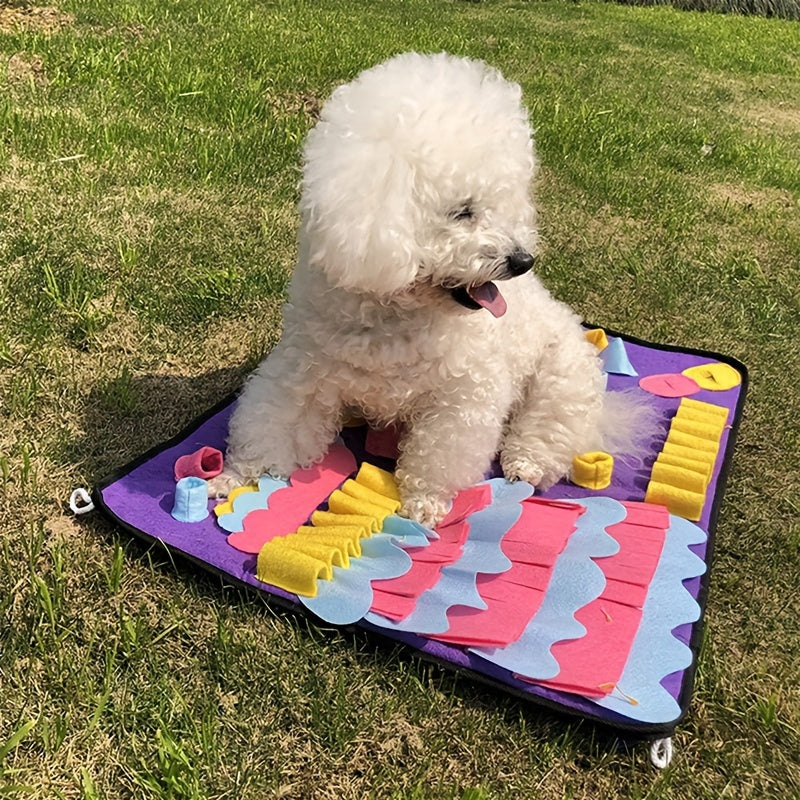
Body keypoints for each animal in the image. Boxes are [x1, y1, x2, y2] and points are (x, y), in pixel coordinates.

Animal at [211, 50, 632, 524]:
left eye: (506, 203)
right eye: (463, 211)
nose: (523, 261)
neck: (396, 314)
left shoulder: (462, 397)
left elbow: (440, 453)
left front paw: (425, 502)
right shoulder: (302, 372)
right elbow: (274, 425)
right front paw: (235, 478)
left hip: (561, 381)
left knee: (549, 430)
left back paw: (525, 463)